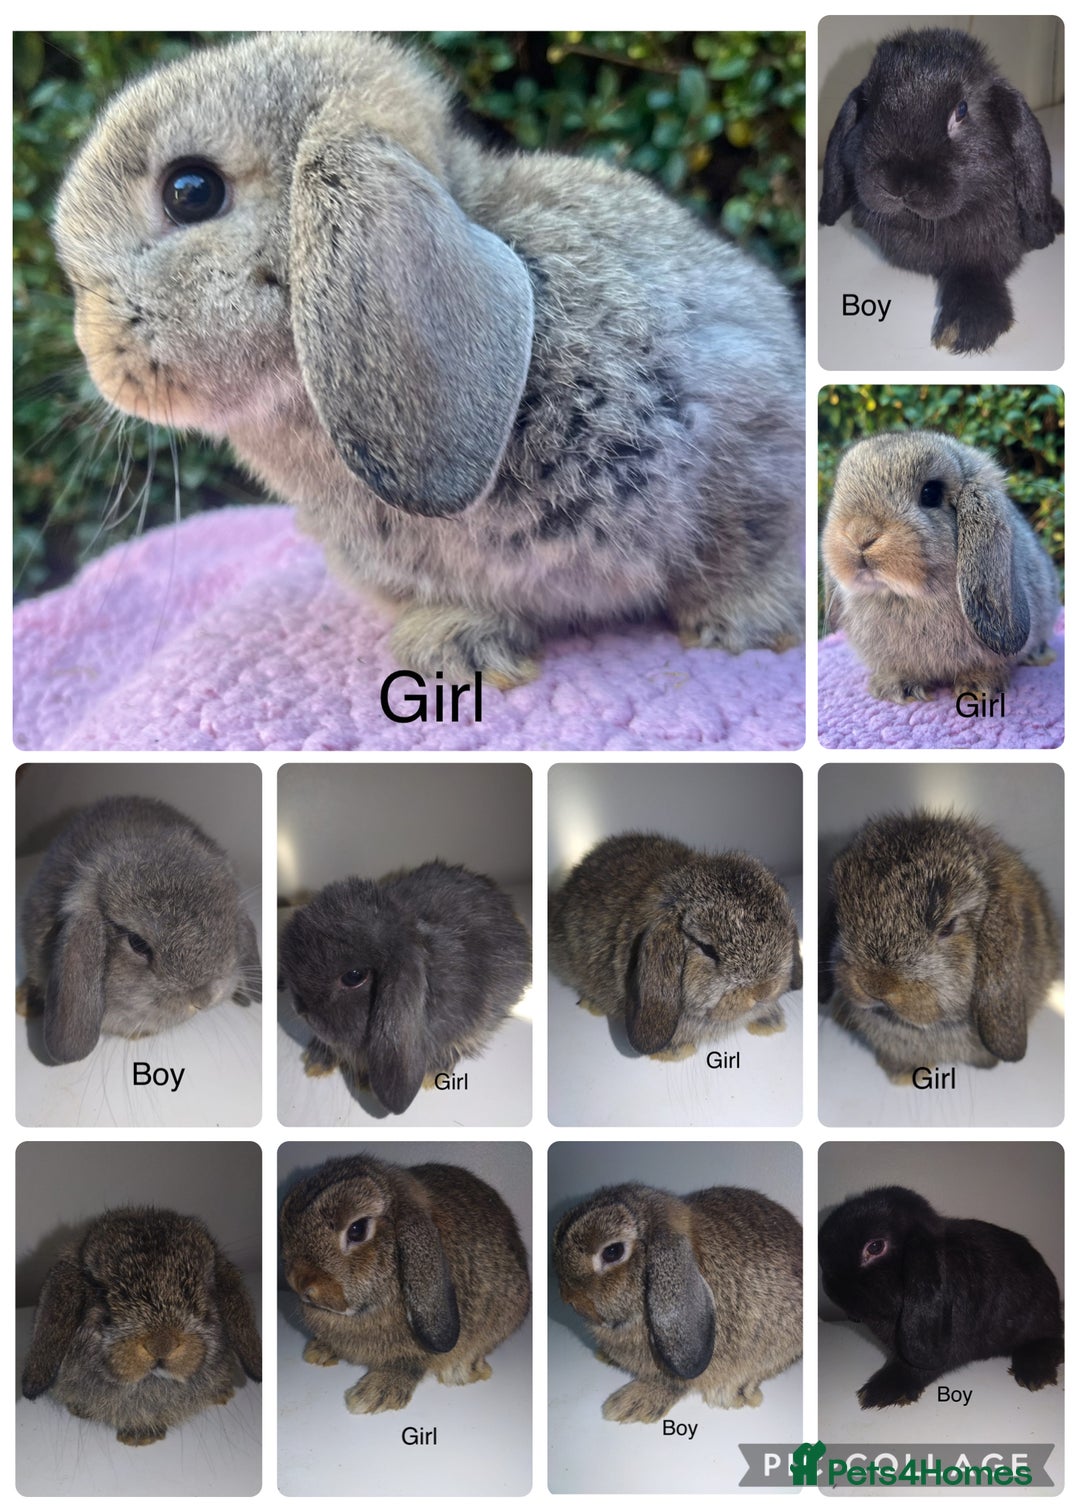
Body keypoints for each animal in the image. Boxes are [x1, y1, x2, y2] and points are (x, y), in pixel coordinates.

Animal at [819, 28, 1064, 354]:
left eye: (961, 110)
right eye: (869, 107)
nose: (901, 184)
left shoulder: (984, 252)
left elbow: (977, 273)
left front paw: (965, 328)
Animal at [819, 1186, 1063, 1409]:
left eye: (876, 1246)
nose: (830, 1288)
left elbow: (916, 1368)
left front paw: (880, 1392)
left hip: (1037, 1318)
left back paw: (1033, 1372)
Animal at [821, 430, 1060, 704]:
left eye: (930, 494)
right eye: (840, 489)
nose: (859, 534)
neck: (904, 596)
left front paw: (978, 687)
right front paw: (895, 688)